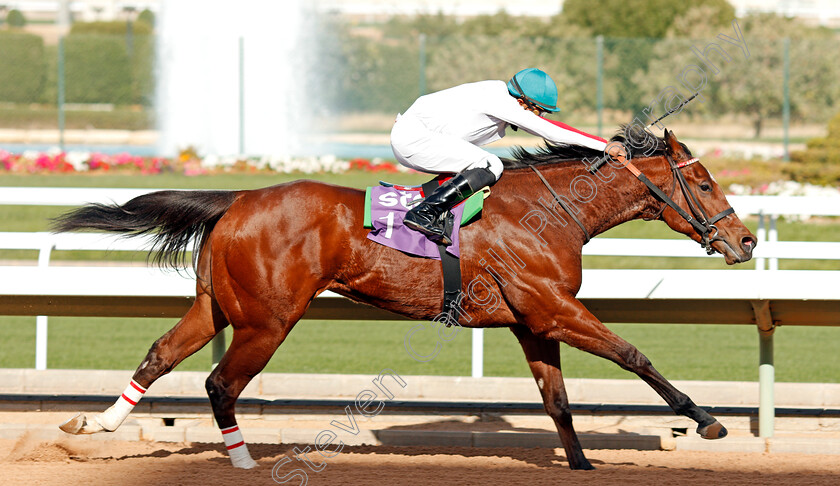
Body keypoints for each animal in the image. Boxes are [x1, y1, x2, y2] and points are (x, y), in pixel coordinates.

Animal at [55, 127, 756, 468]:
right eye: (703, 181)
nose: (745, 240)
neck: (553, 210)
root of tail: (238, 198)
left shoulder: (533, 321)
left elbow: (556, 400)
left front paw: (582, 465)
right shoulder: (554, 308)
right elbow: (634, 355)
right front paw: (708, 419)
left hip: (216, 306)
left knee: (160, 354)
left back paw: (94, 424)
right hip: (268, 320)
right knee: (221, 384)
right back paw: (244, 460)